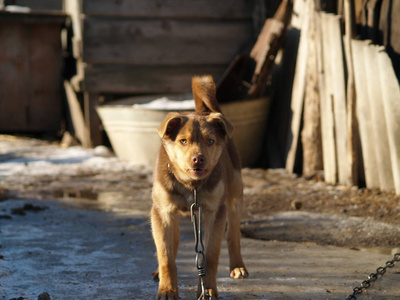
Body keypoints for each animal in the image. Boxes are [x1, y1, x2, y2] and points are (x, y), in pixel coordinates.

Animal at [152, 74, 248, 298]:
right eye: (183, 141)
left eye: (210, 141)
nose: (198, 159)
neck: (191, 185)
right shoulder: (162, 211)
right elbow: (165, 254)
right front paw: (167, 290)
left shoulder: (214, 211)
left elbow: (211, 256)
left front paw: (208, 289)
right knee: (173, 241)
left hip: (235, 194)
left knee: (233, 234)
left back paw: (238, 266)